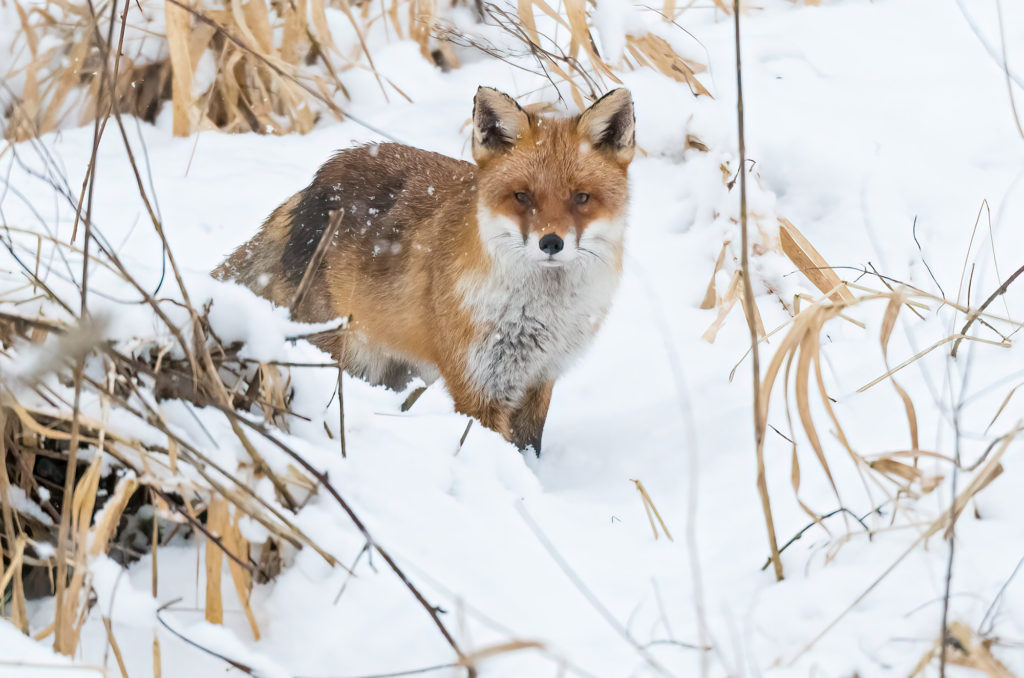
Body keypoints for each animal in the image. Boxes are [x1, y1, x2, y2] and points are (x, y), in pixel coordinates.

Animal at [212, 86, 634, 456]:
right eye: (521, 196)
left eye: (581, 198)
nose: (551, 243)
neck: (541, 315)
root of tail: (310, 188)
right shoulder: (477, 384)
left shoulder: (540, 378)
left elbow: (530, 449)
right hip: (339, 356)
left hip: (391, 372)